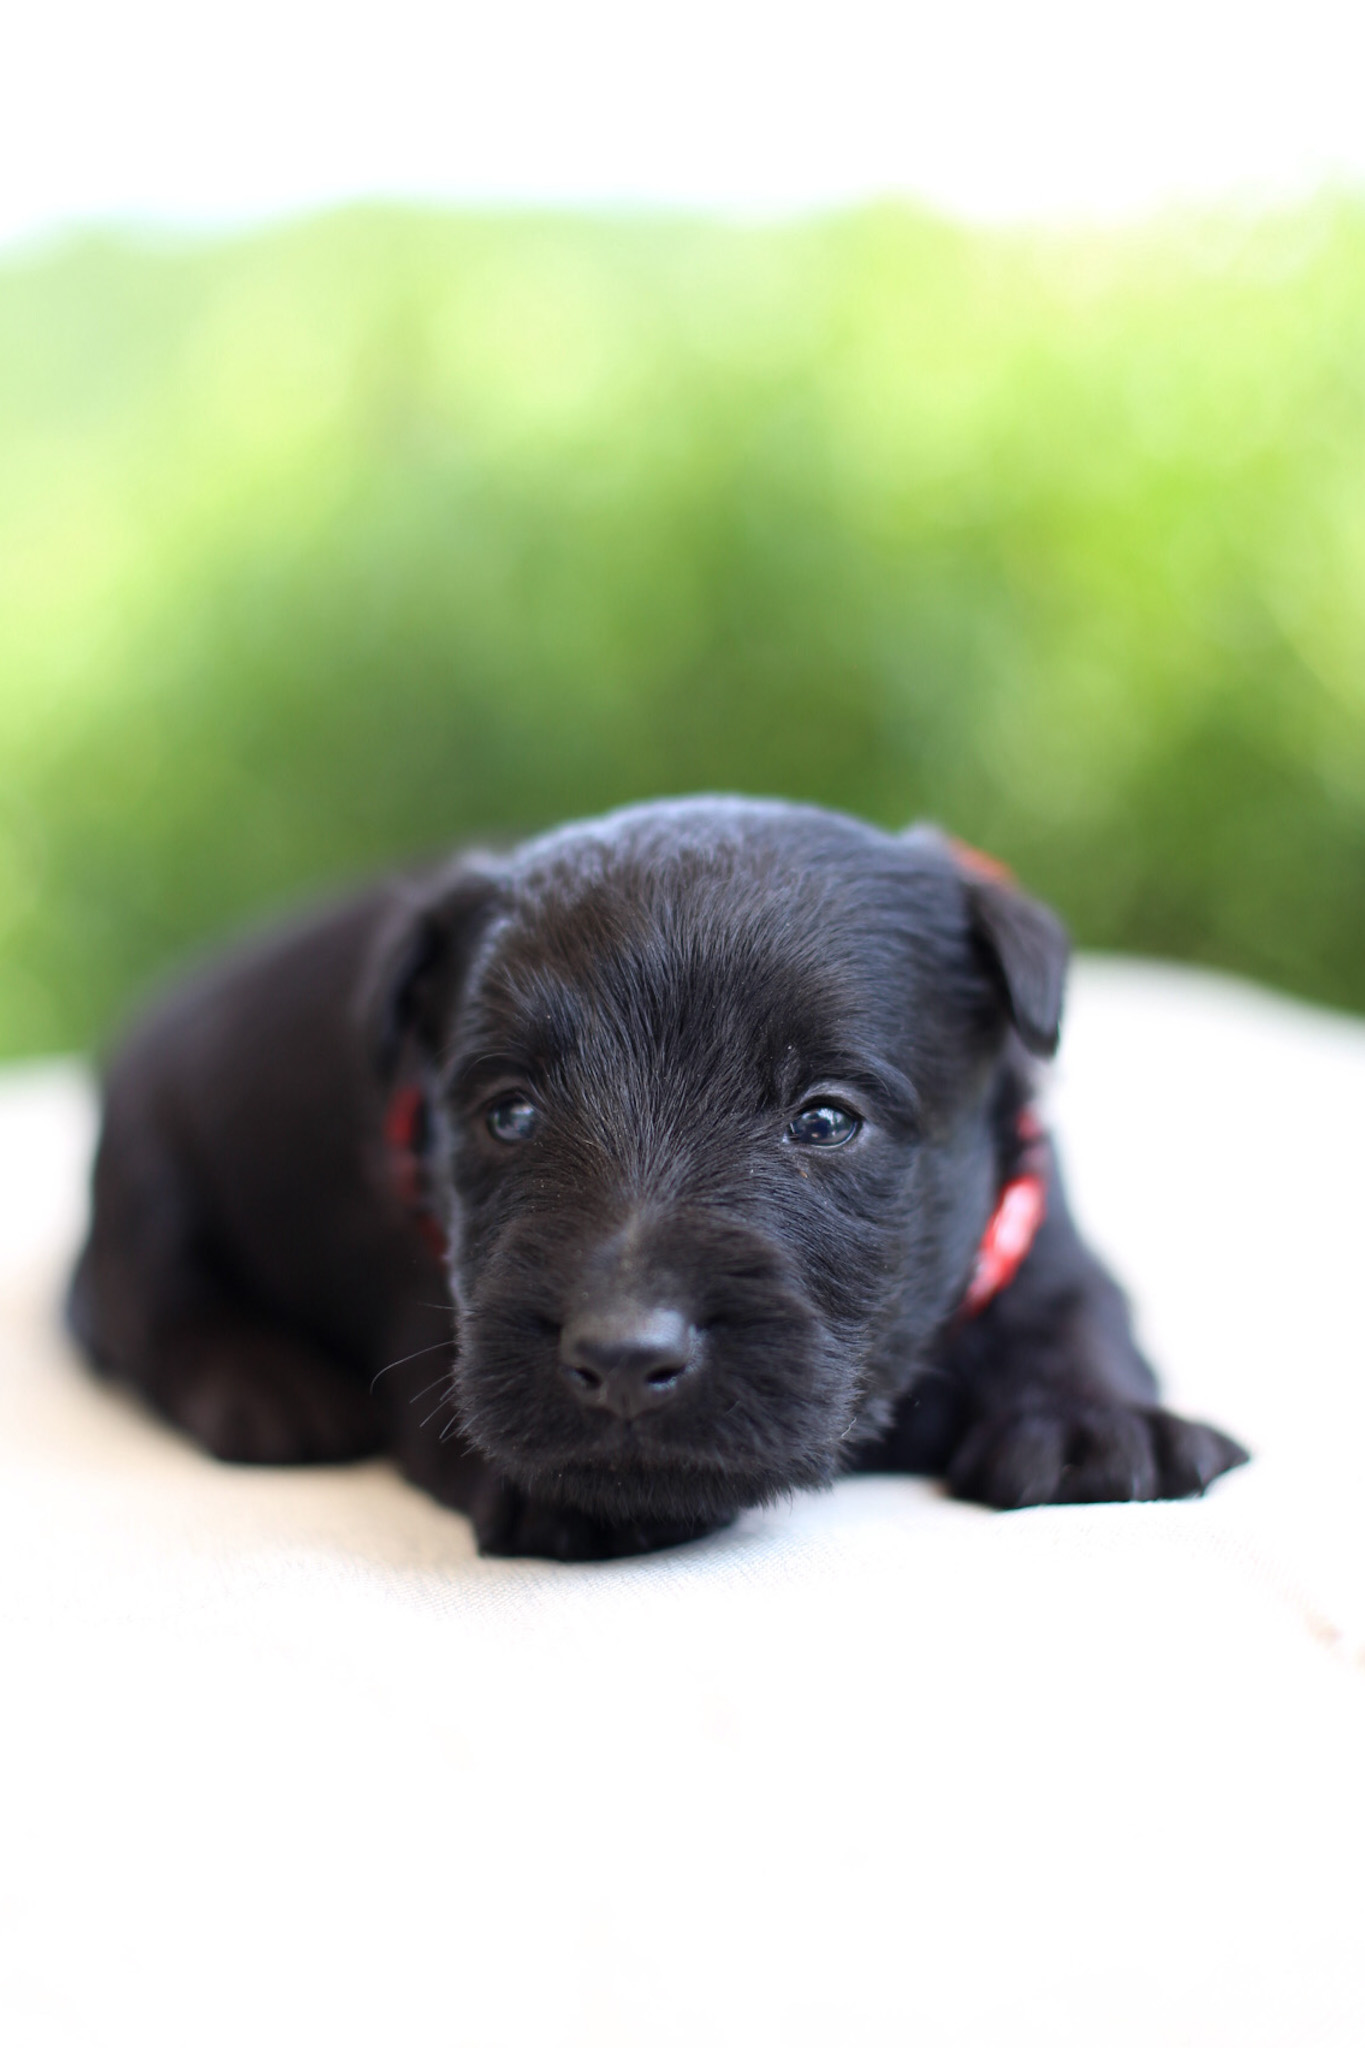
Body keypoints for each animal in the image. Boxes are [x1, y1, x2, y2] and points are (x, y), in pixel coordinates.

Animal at [69, 798, 1252, 1548]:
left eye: (827, 1117)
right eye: (509, 1113)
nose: (623, 1358)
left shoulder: (1038, 1231)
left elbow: (1075, 1313)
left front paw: (1097, 1426)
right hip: (147, 1166)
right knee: (145, 1307)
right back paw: (267, 1389)